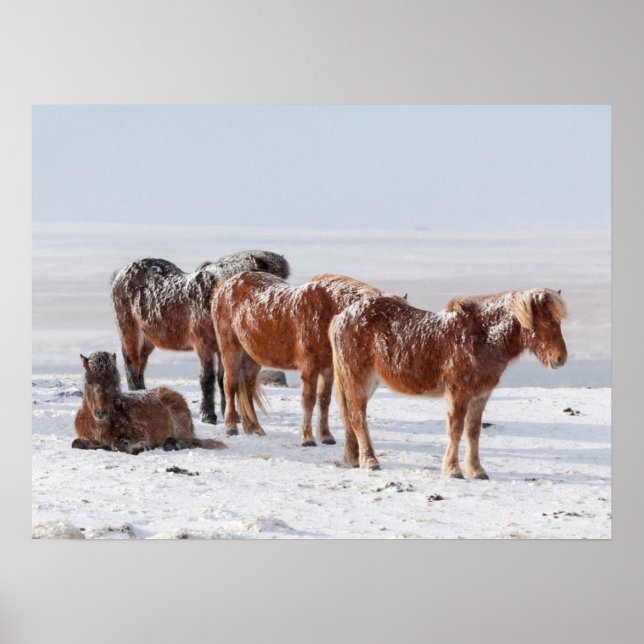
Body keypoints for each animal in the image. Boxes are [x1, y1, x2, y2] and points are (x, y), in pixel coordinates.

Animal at [72, 351, 227, 454]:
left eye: (113, 382)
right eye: (89, 382)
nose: (101, 413)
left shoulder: (141, 434)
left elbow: (119, 444)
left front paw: (140, 447)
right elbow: (76, 443)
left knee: (187, 441)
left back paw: (169, 443)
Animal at [110, 250, 290, 425]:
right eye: (269, 281)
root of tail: (120, 274)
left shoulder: (223, 348)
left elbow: (224, 379)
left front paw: (231, 415)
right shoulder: (204, 346)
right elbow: (207, 378)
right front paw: (208, 415)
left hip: (148, 340)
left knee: (140, 366)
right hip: (130, 333)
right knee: (132, 366)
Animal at [211, 272, 386, 446]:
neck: (325, 310)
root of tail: (225, 285)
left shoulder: (327, 370)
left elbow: (324, 401)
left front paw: (326, 436)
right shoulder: (309, 368)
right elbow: (308, 401)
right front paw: (307, 438)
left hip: (252, 358)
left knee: (247, 388)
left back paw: (255, 428)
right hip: (231, 351)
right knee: (230, 385)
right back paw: (231, 427)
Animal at [329, 288, 568, 475]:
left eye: (558, 321)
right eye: (545, 321)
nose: (560, 358)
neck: (483, 338)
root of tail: (340, 317)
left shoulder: (480, 395)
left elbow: (473, 431)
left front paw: (476, 470)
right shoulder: (459, 392)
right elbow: (456, 429)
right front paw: (453, 470)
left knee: (349, 417)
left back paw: (353, 459)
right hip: (358, 379)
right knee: (357, 418)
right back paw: (370, 461)